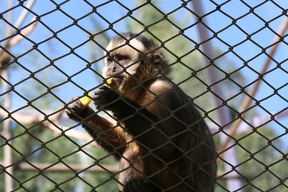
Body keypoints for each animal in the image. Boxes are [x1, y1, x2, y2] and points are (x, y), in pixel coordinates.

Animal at [66, 32, 217, 191]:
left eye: (121, 59)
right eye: (110, 60)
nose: (112, 68)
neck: (143, 87)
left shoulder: (160, 91)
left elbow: (166, 148)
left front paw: (116, 102)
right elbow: (123, 144)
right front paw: (80, 111)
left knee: (134, 153)